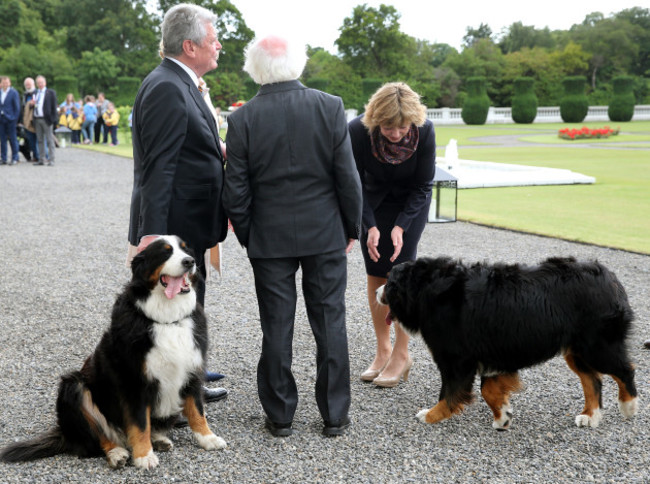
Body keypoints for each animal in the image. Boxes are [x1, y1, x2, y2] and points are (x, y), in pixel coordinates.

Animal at [0, 235, 227, 468]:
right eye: (165, 252)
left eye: (186, 250)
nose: (190, 261)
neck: (167, 319)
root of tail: (65, 434)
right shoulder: (134, 380)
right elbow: (139, 423)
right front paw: (144, 456)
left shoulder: (191, 370)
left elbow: (197, 410)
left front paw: (208, 438)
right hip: (74, 386)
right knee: (97, 438)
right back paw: (117, 453)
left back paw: (159, 440)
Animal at [378, 255, 636, 430]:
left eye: (389, 283)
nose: (377, 291)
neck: (427, 289)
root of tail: (610, 277)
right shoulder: (494, 352)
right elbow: (488, 389)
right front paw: (502, 416)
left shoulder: (456, 358)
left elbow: (450, 391)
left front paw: (431, 415)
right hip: (576, 351)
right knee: (593, 379)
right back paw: (590, 416)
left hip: (597, 346)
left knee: (624, 370)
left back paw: (628, 405)